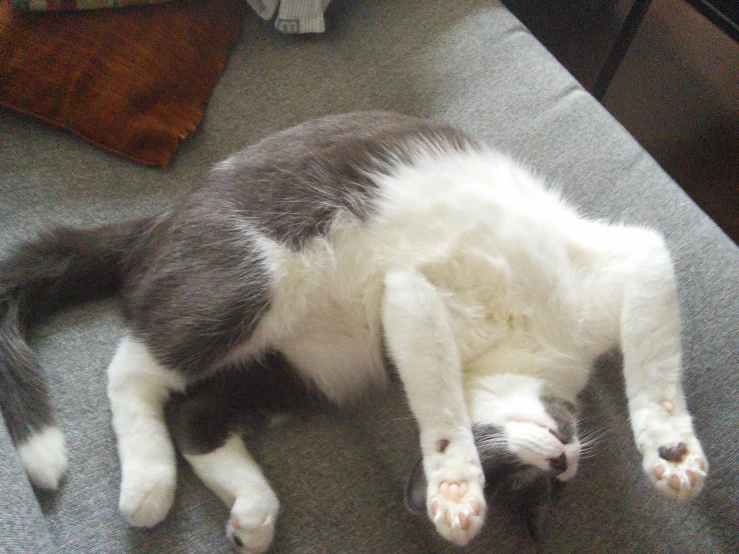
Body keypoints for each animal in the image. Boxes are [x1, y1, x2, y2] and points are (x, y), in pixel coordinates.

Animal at [0, 111, 712, 548]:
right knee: (132, 369)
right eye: (509, 471)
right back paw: (148, 483)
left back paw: (251, 512)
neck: (525, 349)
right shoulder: (415, 296)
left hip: (314, 369)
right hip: (243, 280)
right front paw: (671, 453)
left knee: (198, 416)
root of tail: (157, 221)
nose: (562, 458)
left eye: (538, 487)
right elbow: (650, 369)